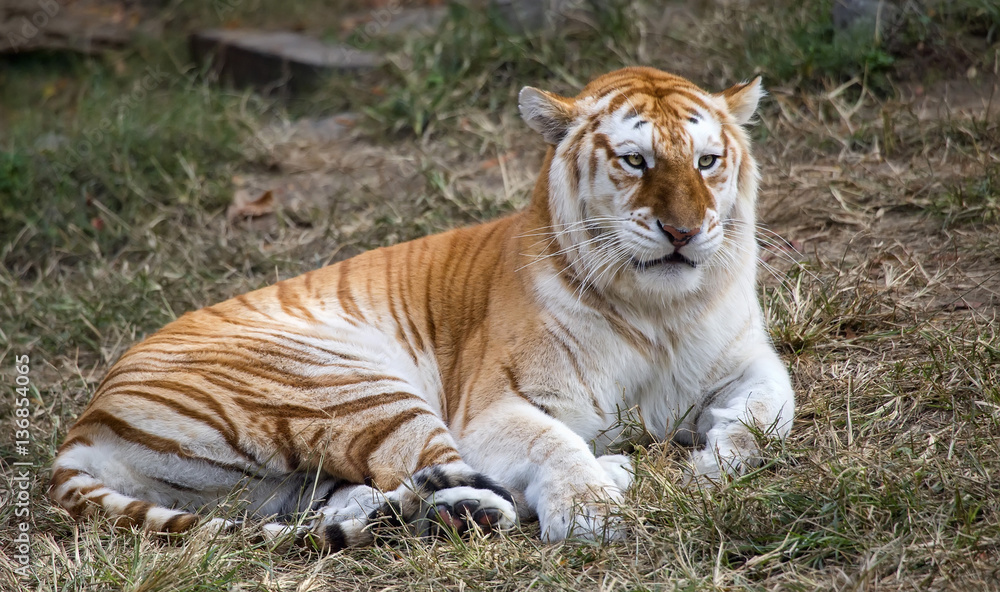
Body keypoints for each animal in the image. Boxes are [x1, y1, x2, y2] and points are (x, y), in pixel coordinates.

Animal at [49, 66, 795, 548]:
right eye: (636, 161)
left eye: (706, 161)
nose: (684, 232)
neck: (658, 311)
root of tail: (83, 425)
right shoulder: (494, 407)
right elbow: (553, 443)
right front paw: (591, 513)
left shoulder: (749, 363)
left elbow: (766, 415)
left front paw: (714, 465)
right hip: (350, 384)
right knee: (450, 480)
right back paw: (580, 481)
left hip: (285, 477)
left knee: (365, 498)